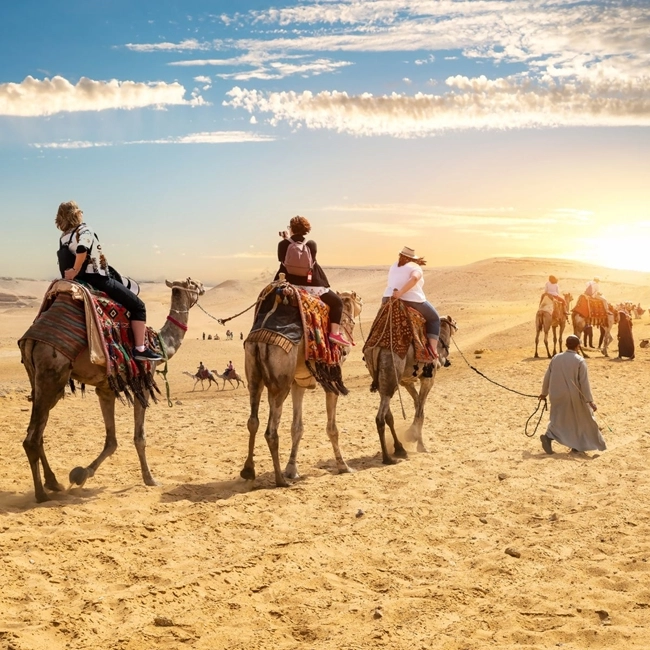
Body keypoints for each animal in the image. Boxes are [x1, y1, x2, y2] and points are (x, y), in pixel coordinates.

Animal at [19, 276, 202, 498]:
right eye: (193, 284)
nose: (202, 288)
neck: (159, 345)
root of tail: (32, 339)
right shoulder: (143, 384)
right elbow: (139, 437)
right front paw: (150, 479)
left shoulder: (105, 390)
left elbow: (111, 441)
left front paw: (83, 473)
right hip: (52, 377)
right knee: (33, 438)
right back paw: (41, 494)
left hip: (39, 380)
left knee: (37, 433)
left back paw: (53, 482)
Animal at [240, 290, 362, 486]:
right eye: (357, 298)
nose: (361, 300)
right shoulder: (331, 380)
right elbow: (332, 428)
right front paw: (343, 466)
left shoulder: (299, 383)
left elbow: (297, 428)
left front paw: (292, 470)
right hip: (280, 384)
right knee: (271, 431)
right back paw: (280, 480)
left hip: (254, 374)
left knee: (253, 421)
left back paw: (249, 471)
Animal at [364, 316, 456, 464]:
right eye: (454, 323)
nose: (456, 326)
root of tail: (375, 348)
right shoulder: (428, 379)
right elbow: (420, 410)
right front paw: (416, 441)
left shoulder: (407, 382)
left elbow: (418, 406)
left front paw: (417, 441)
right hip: (391, 374)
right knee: (380, 417)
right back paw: (388, 458)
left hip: (381, 381)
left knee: (388, 415)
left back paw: (400, 449)